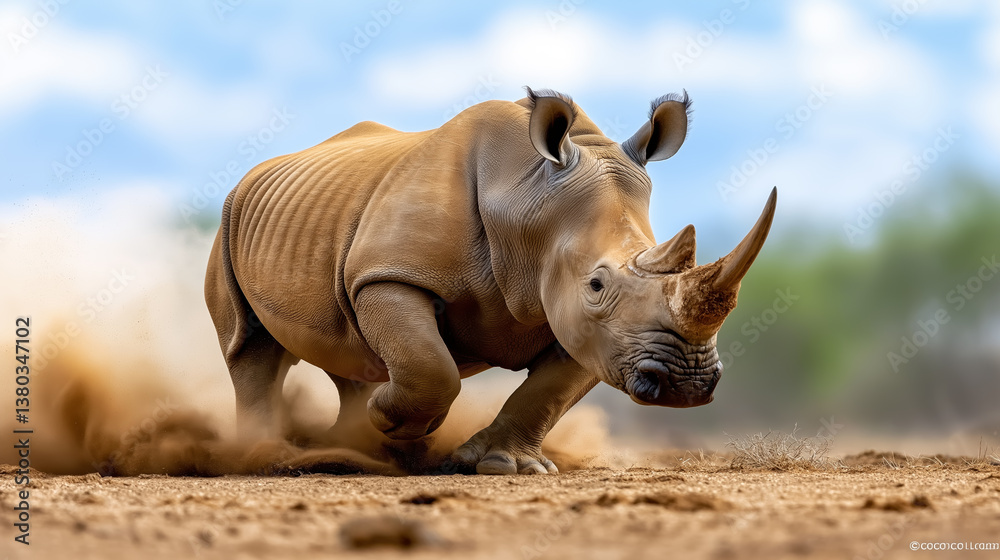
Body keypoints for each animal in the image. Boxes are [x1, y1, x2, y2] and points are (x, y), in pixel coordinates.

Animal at [205, 87, 776, 475]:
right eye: (596, 285)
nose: (687, 386)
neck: (527, 201)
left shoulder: (590, 327)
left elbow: (547, 392)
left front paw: (500, 465)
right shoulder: (389, 276)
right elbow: (431, 366)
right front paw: (397, 425)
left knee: (349, 351)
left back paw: (354, 446)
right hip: (230, 219)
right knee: (249, 346)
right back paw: (274, 454)